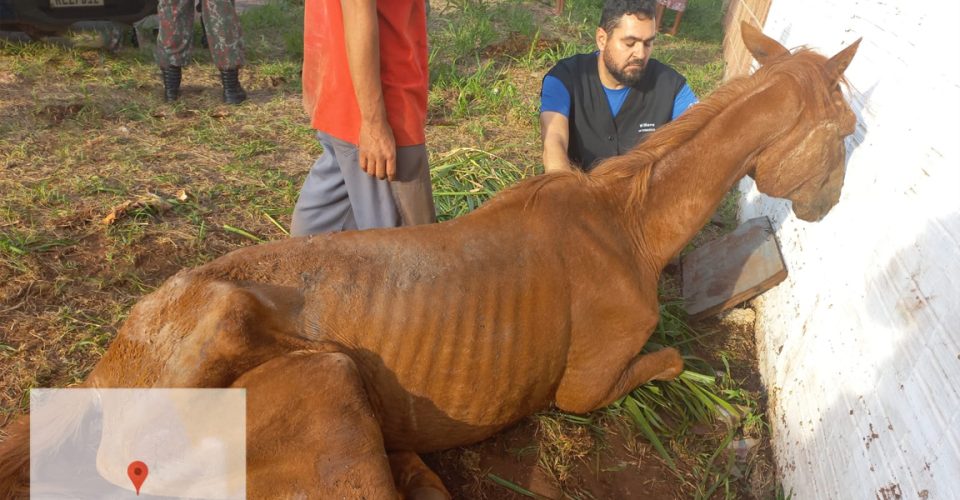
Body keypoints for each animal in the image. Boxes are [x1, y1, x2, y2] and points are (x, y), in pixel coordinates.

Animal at [0, 24, 864, 500]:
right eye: (845, 126)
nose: (828, 205)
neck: (627, 223)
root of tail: (108, 378)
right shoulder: (585, 388)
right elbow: (676, 357)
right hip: (317, 388)